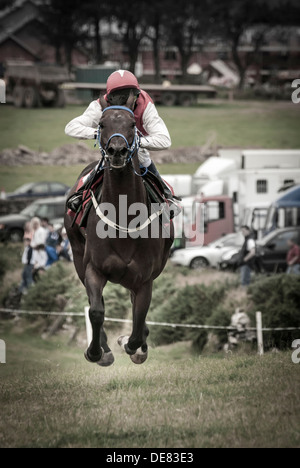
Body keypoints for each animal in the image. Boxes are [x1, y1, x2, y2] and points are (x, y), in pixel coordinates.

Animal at [64, 95, 175, 366]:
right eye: (102, 124)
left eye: (132, 125)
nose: (117, 150)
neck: (124, 216)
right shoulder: (93, 269)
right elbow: (96, 311)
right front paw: (97, 351)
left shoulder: (144, 278)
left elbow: (138, 319)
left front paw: (133, 345)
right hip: (77, 254)